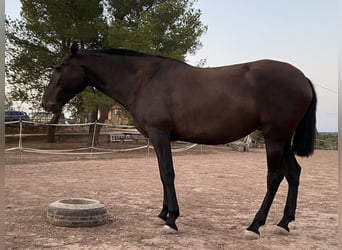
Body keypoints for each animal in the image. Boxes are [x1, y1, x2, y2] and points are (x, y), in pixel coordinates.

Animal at [41, 41, 316, 238]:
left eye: (58, 68)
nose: (46, 104)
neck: (144, 80)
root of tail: (302, 78)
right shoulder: (160, 138)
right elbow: (162, 174)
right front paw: (163, 214)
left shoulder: (160, 134)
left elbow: (167, 173)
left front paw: (172, 219)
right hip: (283, 139)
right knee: (294, 173)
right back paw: (283, 223)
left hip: (275, 136)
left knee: (275, 177)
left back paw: (254, 226)